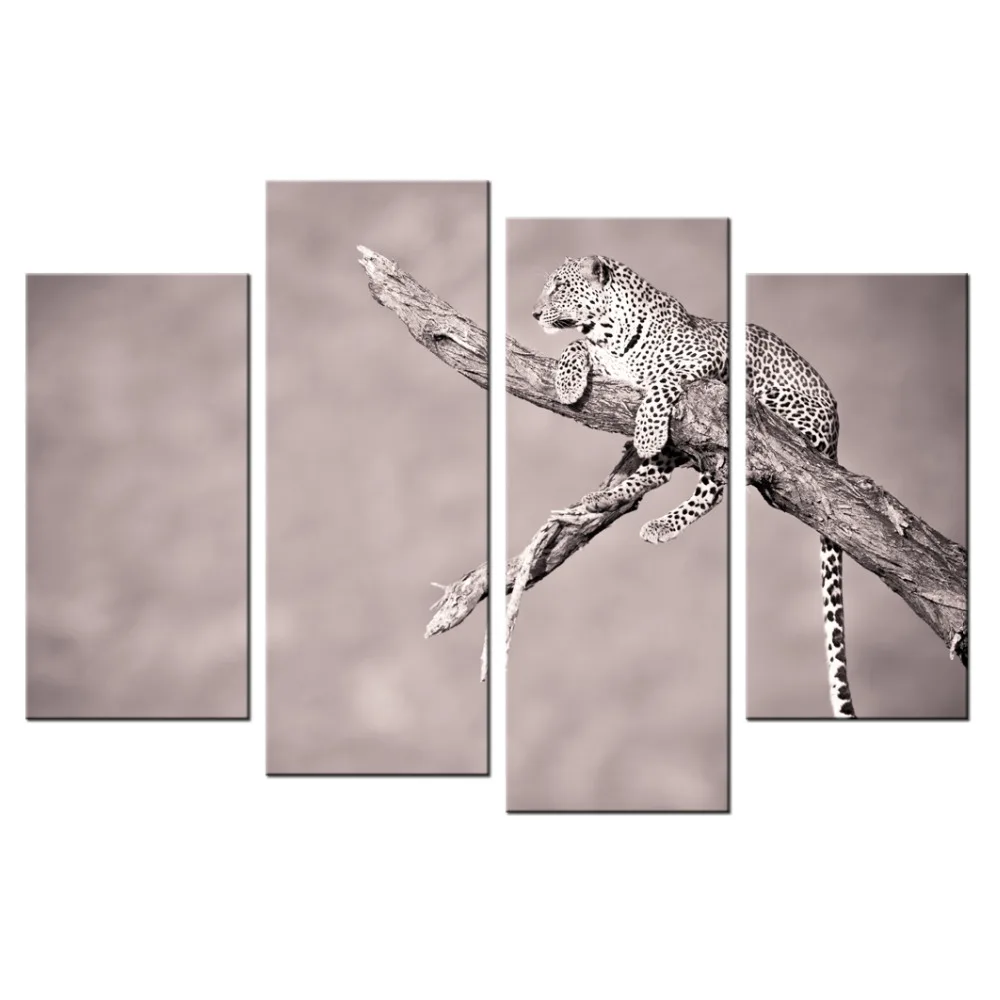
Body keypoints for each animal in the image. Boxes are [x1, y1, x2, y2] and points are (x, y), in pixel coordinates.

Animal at [533, 255, 855, 719]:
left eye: (558, 287)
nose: (534, 314)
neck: (609, 334)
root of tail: (836, 437)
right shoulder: (604, 359)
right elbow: (574, 348)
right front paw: (569, 382)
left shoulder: (705, 358)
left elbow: (661, 380)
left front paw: (646, 429)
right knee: (662, 474)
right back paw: (604, 497)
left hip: (759, 411)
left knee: (716, 486)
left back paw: (659, 518)